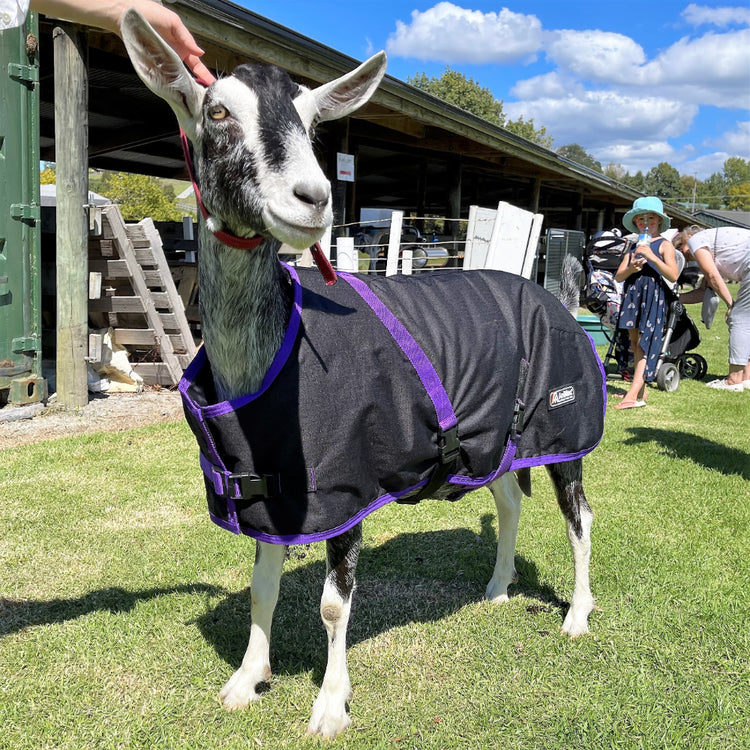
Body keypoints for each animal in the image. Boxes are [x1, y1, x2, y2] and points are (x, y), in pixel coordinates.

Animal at [121, 9, 603, 738]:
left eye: (312, 124)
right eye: (217, 113)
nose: (314, 197)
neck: (265, 364)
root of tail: (546, 292)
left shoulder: (347, 485)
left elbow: (332, 604)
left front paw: (329, 705)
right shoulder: (271, 491)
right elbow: (261, 586)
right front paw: (247, 679)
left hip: (564, 429)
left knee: (579, 515)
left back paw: (576, 614)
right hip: (501, 436)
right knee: (509, 500)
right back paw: (496, 589)